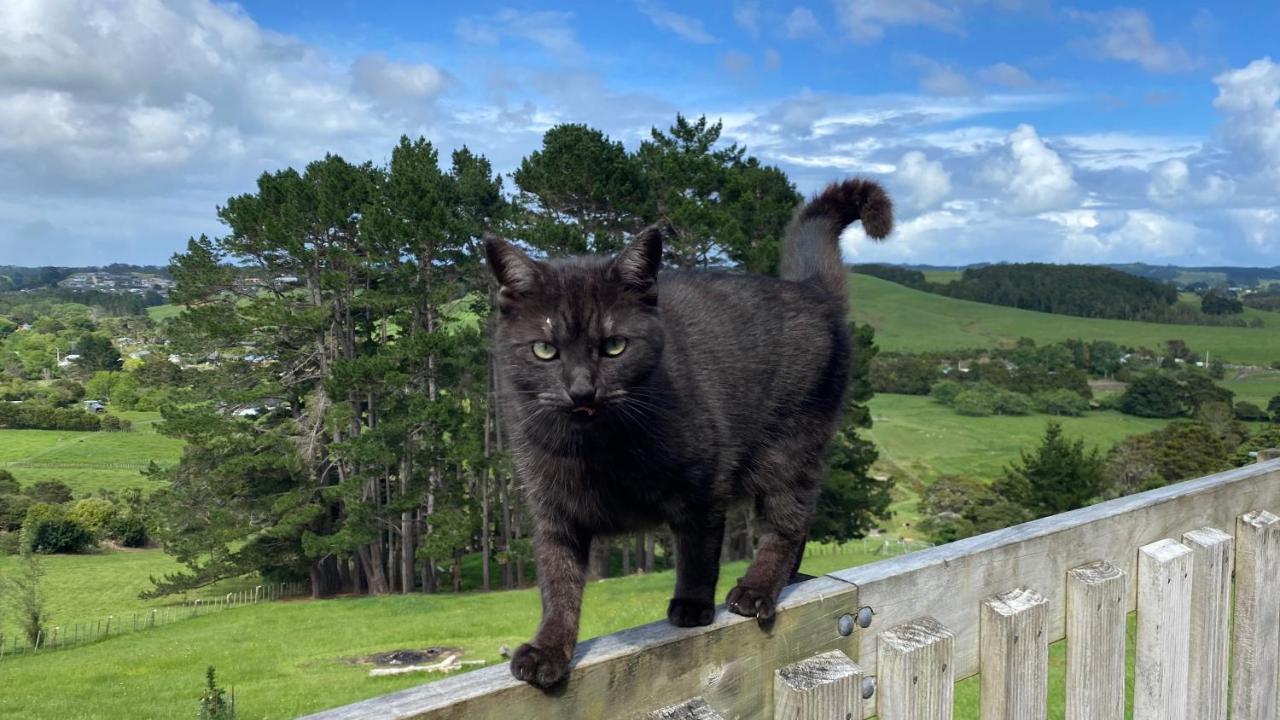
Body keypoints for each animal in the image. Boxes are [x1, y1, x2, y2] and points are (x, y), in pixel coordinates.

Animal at [483, 176, 896, 686]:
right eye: (544, 349)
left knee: (788, 520)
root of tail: (810, 290)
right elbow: (558, 582)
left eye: (615, 345)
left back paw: (758, 588)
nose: (582, 389)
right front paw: (548, 649)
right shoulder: (554, 513)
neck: (597, 450)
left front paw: (692, 606)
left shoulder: (705, 485)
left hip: (791, 447)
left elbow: (698, 550)